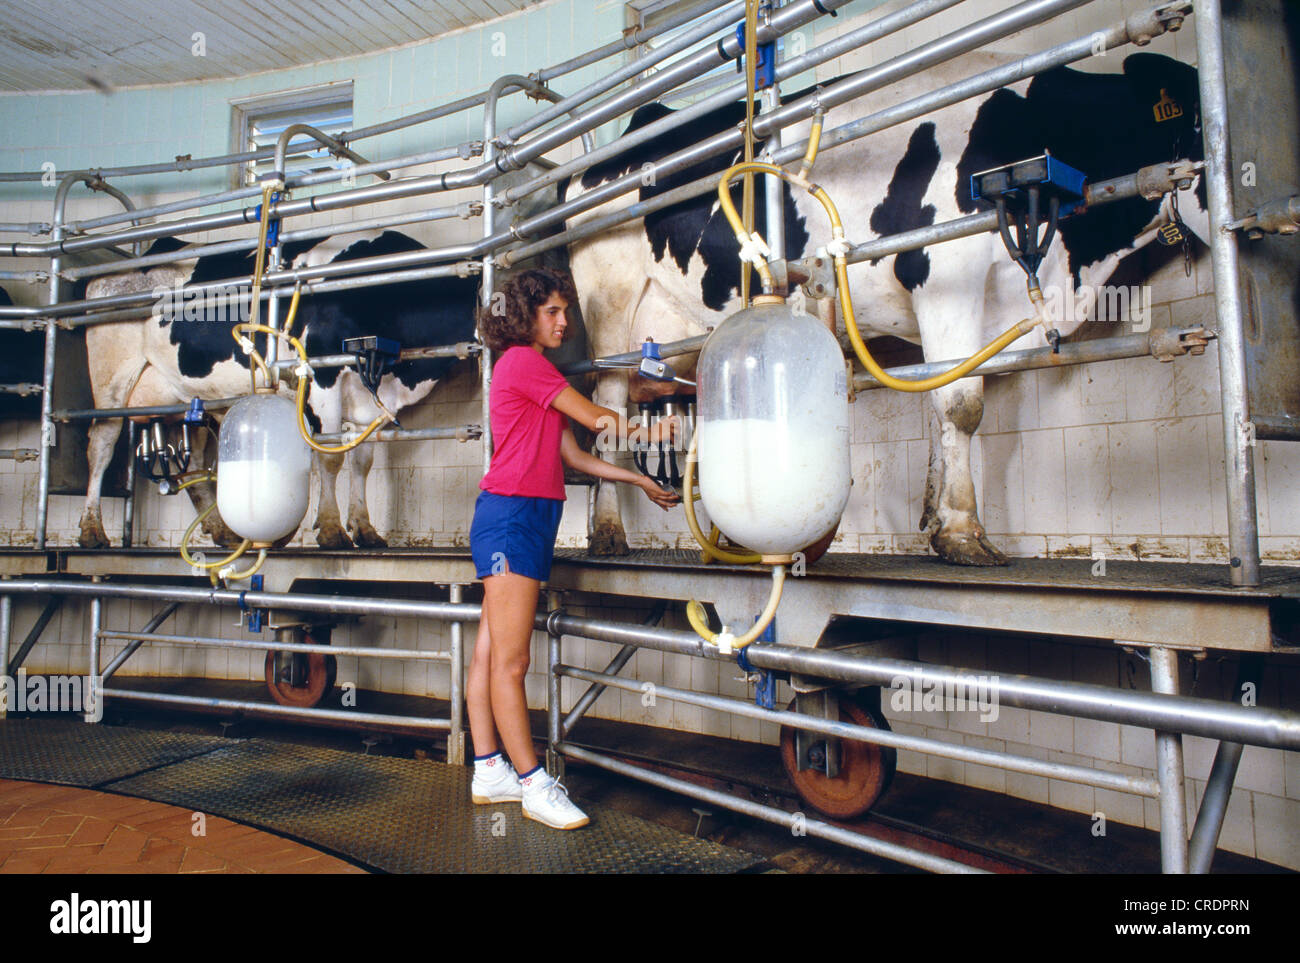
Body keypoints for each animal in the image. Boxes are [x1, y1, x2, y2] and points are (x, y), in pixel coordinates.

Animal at [77, 231, 483, 548]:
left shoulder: (368, 394)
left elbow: (361, 462)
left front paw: (365, 529)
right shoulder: (322, 373)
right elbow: (331, 458)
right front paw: (331, 530)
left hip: (192, 399)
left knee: (192, 461)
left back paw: (222, 531)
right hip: (110, 379)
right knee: (101, 444)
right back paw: (92, 531)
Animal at [569, 52, 1206, 564]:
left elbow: (941, 392)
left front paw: (935, 518)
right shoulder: (944, 277)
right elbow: (962, 405)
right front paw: (963, 534)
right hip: (612, 309)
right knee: (609, 412)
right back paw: (608, 534)